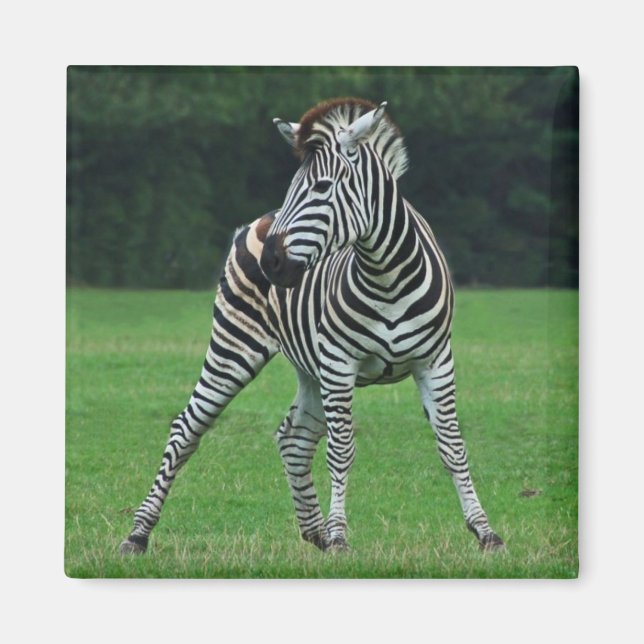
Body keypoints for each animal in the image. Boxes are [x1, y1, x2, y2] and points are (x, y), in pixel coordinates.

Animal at [120, 97, 504, 555]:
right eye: (292, 189)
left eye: (321, 188)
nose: (270, 264)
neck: (388, 275)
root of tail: (255, 222)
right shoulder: (340, 362)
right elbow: (342, 450)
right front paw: (339, 536)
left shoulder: (435, 360)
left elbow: (452, 445)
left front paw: (484, 530)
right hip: (235, 347)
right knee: (186, 430)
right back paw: (138, 534)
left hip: (311, 369)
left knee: (294, 438)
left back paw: (314, 531)